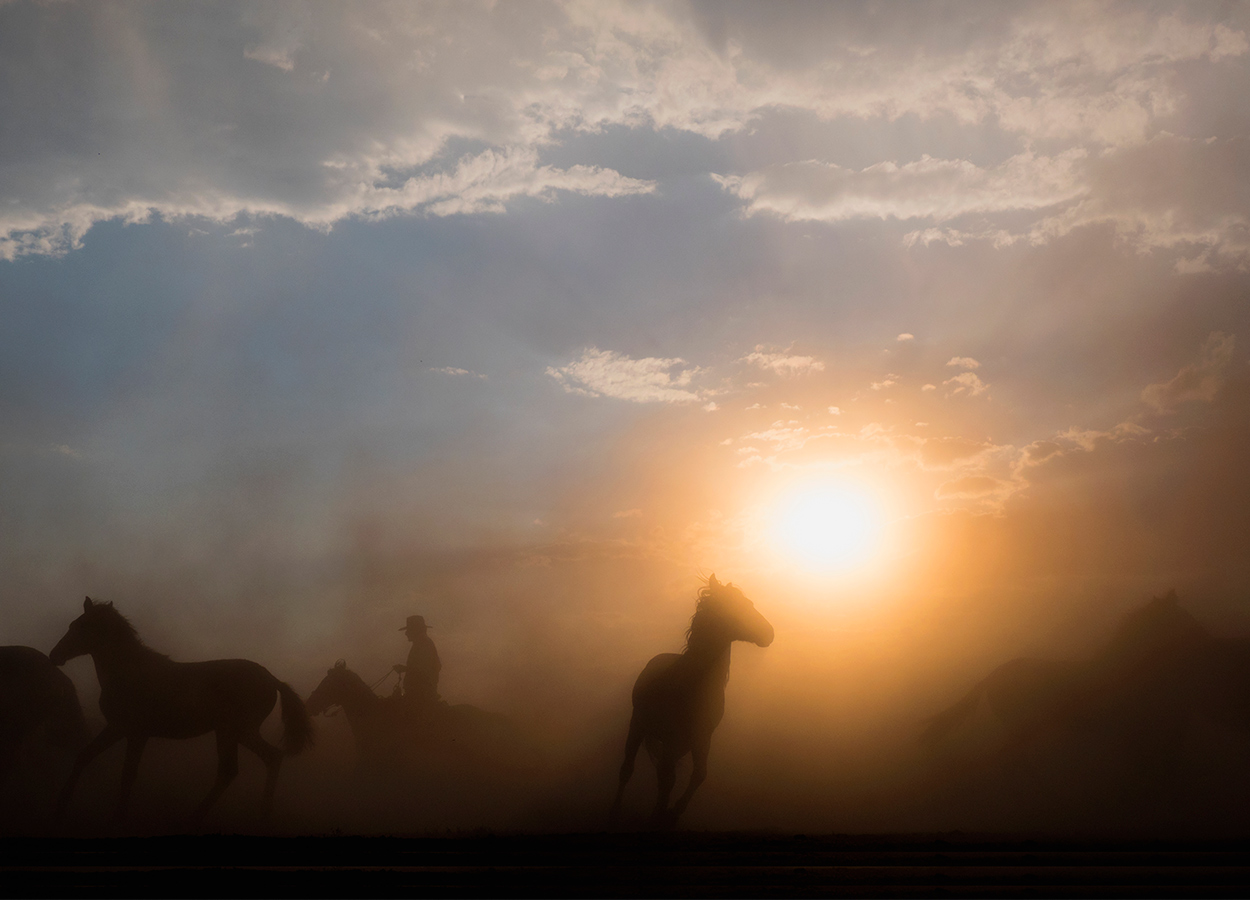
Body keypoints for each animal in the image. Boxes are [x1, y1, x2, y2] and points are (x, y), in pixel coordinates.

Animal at [52, 597, 311, 825]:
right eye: (73, 625)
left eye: (83, 626)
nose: (55, 655)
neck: (129, 672)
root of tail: (272, 679)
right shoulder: (116, 728)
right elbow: (84, 755)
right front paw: (61, 805)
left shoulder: (136, 733)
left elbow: (128, 774)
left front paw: (117, 817)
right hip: (240, 733)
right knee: (269, 759)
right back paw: (262, 813)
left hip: (231, 731)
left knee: (233, 769)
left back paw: (196, 818)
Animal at [607, 577, 770, 830]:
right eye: (736, 606)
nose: (769, 633)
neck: (690, 683)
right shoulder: (670, 736)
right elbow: (666, 778)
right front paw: (661, 815)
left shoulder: (701, 737)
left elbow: (698, 774)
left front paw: (671, 813)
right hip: (639, 726)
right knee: (628, 769)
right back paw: (616, 812)